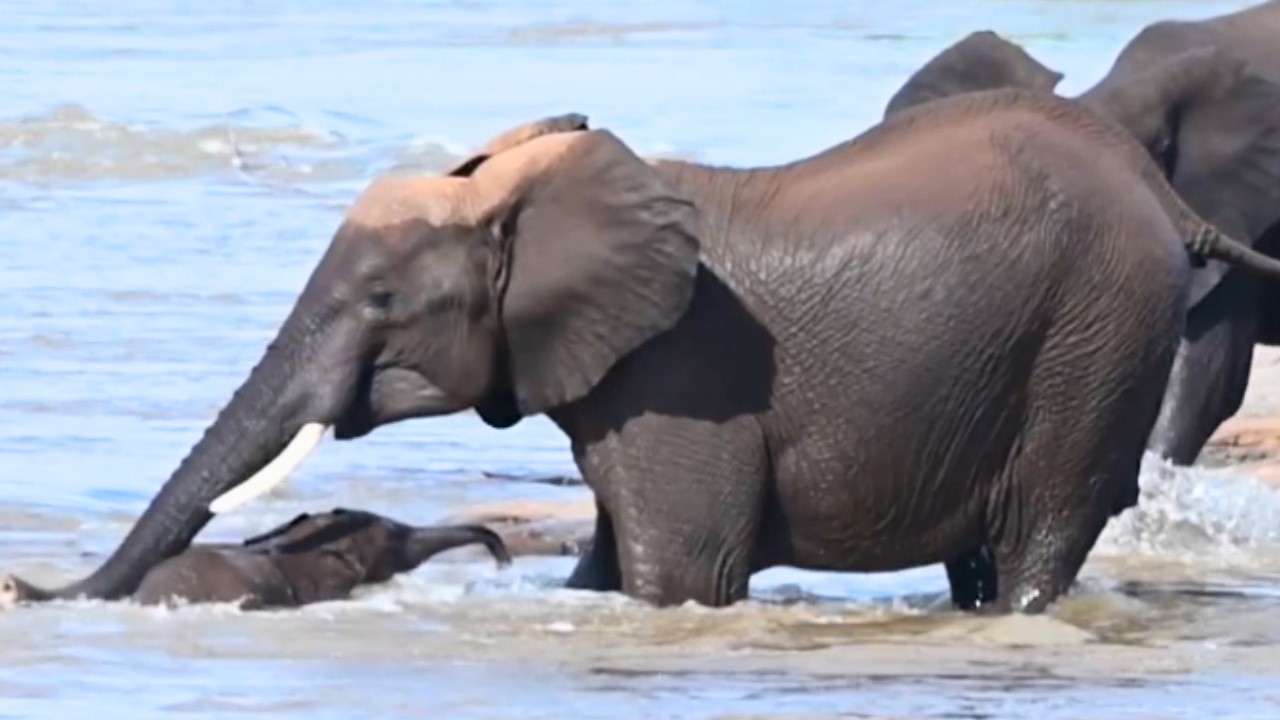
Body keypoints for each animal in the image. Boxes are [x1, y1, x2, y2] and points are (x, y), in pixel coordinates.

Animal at [12, 95, 1280, 615]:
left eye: (379, 301)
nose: (27, 587)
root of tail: (1155, 188)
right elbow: (611, 562)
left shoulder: (685, 375)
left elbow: (682, 573)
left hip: (1095, 333)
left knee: (1036, 538)